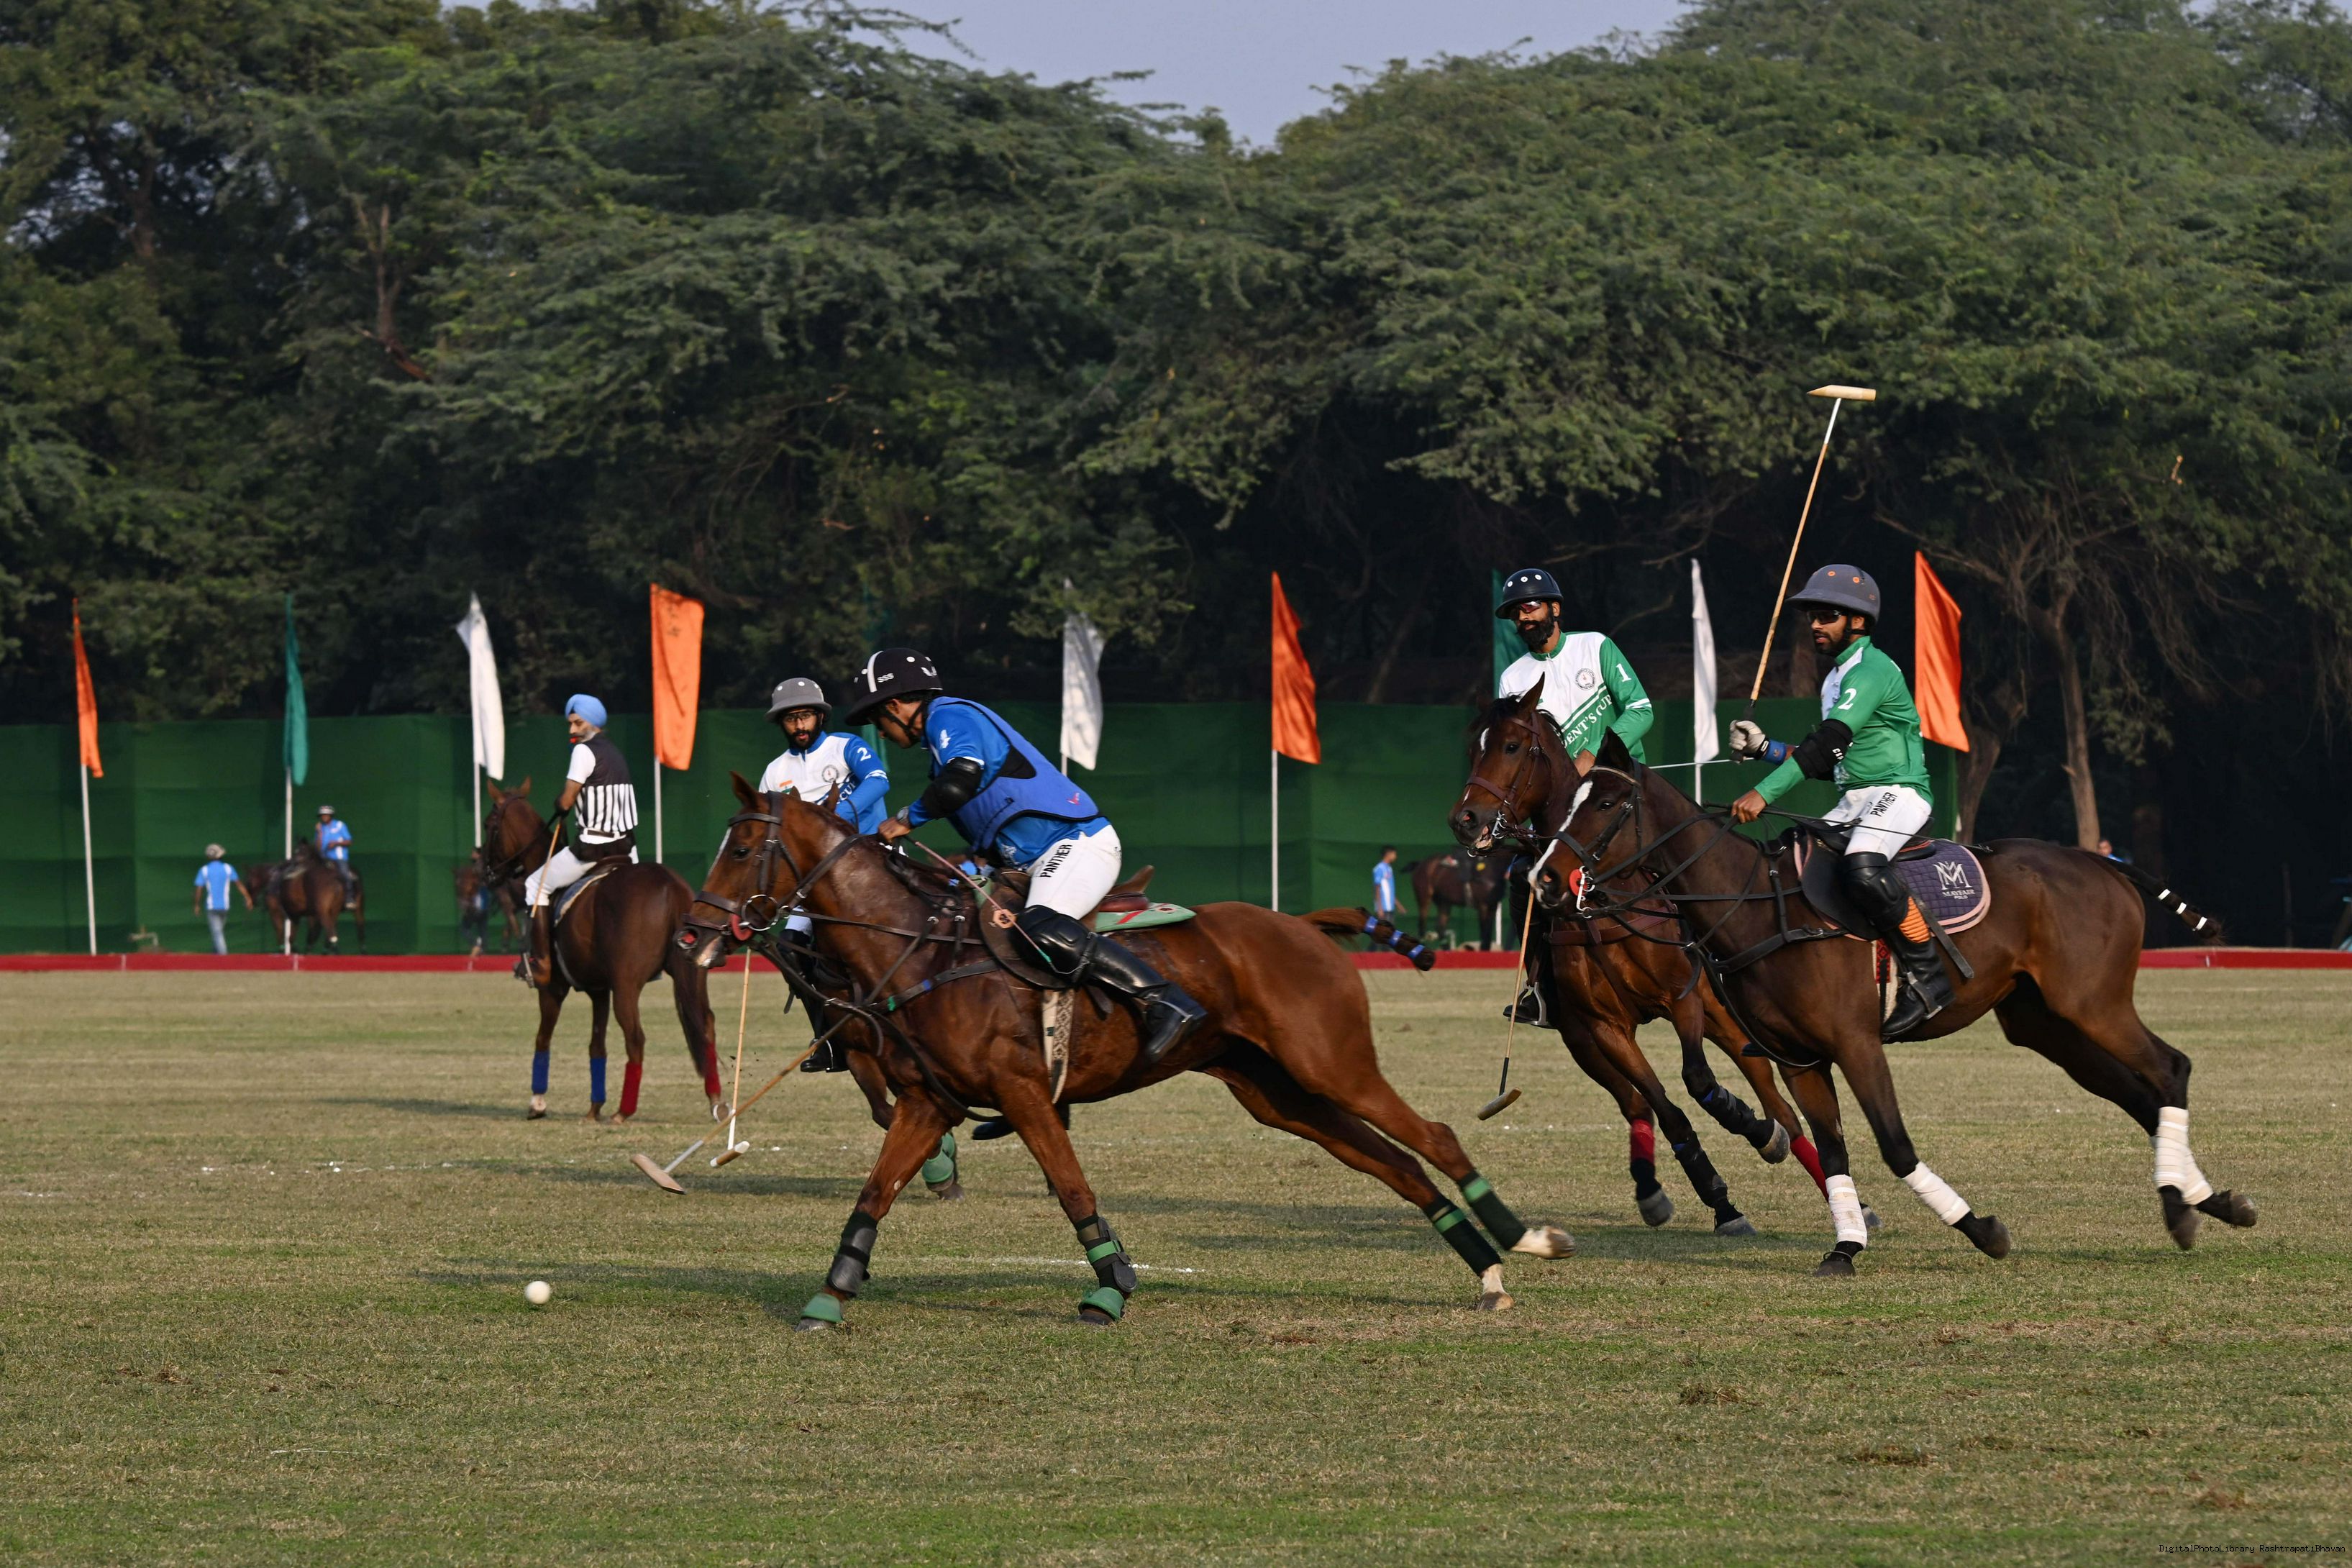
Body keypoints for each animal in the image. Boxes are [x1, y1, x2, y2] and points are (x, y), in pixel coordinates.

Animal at [482, 779, 721, 1123]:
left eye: (490, 825)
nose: (487, 872)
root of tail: (673, 886)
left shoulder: (554, 988)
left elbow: (543, 1037)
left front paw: (537, 1104)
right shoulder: (599, 990)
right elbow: (597, 1046)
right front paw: (593, 1108)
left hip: (626, 984)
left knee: (636, 1037)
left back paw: (624, 1111)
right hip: (691, 974)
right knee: (706, 1026)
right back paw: (717, 1101)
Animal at [1406, 850, 1507, 948]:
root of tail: (1420, 863)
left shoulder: (1493, 905)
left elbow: (1487, 935)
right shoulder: (1483, 906)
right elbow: (1484, 934)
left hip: (1444, 902)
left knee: (1440, 928)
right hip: (1424, 898)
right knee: (1422, 926)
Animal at [1449, 679, 1831, 1235]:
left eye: (1512, 746)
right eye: (1472, 748)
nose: (1465, 820)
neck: (1601, 902)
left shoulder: (1683, 996)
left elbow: (1700, 1080)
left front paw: (1747, 1124)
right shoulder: (1602, 1027)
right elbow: (1665, 1108)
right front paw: (1719, 1199)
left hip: (1723, 1013)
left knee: (1775, 1096)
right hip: (1582, 1042)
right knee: (1635, 1104)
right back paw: (1653, 1189)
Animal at [1542, 728, 2256, 1276]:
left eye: (1606, 801)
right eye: (1566, 802)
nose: (1546, 878)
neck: (1756, 907)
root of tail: (2102, 862)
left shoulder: (1856, 1044)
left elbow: (1895, 1146)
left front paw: (1982, 1231)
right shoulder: (1801, 1060)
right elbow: (1833, 1151)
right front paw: (1845, 1247)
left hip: (2093, 1004)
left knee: (2170, 1068)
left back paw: (2180, 1208)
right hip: (2046, 1024)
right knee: (2138, 1092)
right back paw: (2207, 1202)